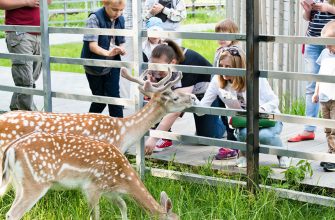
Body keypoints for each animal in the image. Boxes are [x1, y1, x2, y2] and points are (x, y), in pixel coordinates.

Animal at [0, 131, 178, 219]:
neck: (124, 180)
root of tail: (11, 149)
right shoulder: (92, 187)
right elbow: (95, 215)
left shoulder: (109, 191)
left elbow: (123, 205)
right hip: (35, 182)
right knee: (13, 214)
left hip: (17, 183)